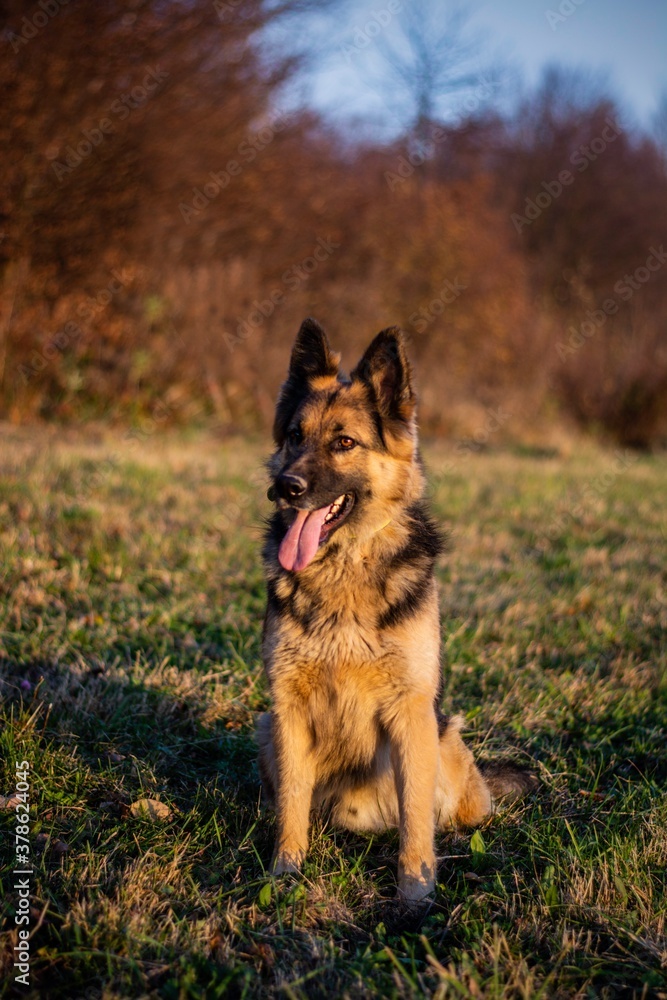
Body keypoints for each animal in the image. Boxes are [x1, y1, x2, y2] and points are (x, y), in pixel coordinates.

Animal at [258, 318, 536, 900]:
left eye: (344, 442)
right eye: (294, 435)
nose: (284, 488)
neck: (345, 565)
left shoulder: (410, 711)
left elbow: (415, 813)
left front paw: (415, 889)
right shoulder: (286, 707)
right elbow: (292, 801)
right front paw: (286, 872)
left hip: (443, 737)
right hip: (264, 728)